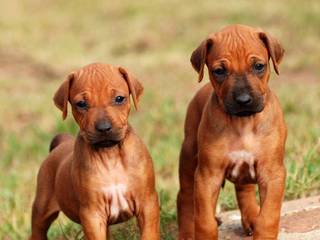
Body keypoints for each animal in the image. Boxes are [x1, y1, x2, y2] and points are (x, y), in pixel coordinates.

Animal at [29, 62, 160, 239]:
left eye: (119, 99)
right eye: (81, 104)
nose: (104, 128)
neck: (111, 155)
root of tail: (62, 143)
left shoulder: (147, 204)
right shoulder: (92, 215)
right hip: (42, 208)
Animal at [178, 24, 288, 240]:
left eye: (259, 66)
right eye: (219, 71)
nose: (244, 100)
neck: (243, 122)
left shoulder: (273, 174)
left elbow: (268, 217)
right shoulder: (207, 176)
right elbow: (204, 221)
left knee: (244, 189)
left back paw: (251, 217)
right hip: (188, 156)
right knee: (185, 197)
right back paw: (186, 233)